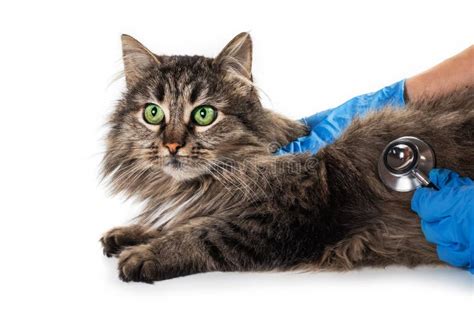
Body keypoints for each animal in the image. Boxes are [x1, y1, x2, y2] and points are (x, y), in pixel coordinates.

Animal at [101, 32, 474, 284]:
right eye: (152, 113)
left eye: (204, 115)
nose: (172, 145)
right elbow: (173, 221)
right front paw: (130, 232)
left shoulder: (284, 219)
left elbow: (202, 233)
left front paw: (146, 254)